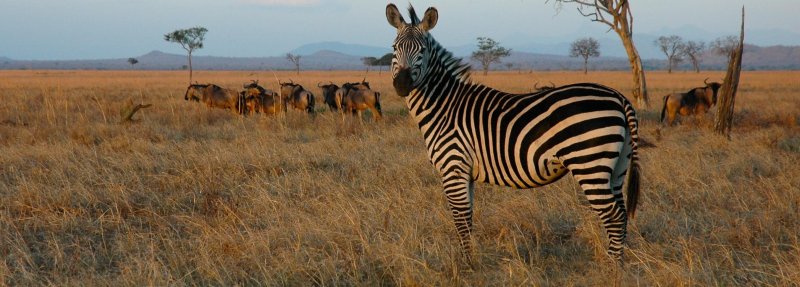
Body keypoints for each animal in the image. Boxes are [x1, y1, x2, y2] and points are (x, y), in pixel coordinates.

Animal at [384, 3, 640, 264]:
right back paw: (618, 264)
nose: (402, 85)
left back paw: (611, 267)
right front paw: (470, 260)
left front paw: (466, 264)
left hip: (589, 164)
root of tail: (618, 97)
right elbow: (468, 218)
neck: (445, 106)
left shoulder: (453, 168)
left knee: (614, 217)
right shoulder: (465, 173)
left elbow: (460, 221)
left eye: (422, 50)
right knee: (621, 214)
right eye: (394, 48)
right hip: (617, 166)